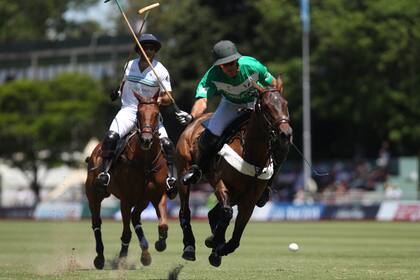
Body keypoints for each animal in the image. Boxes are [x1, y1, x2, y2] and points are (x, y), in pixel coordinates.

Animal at [84, 90, 170, 270]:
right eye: (138, 113)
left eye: (157, 114)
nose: (146, 140)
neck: (145, 162)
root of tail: (95, 150)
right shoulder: (126, 200)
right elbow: (126, 233)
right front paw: (122, 259)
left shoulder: (158, 195)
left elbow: (163, 224)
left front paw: (160, 243)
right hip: (94, 196)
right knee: (97, 223)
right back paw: (100, 258)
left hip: (143, 200)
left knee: (135, 218)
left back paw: (146, 254)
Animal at [175, 79, 292, 266]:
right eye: (266, 107)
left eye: (285, 104)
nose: (286, 135)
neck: (252, 154)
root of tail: (195, 121)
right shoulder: (221, 184)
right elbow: (227, 212)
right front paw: (215, 244)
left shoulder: (250, 198)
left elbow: (237, 232)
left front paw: (218, 248)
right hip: (183, 172)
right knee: (185, 211)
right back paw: (189, 248)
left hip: (238, 193)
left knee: (212, 213)